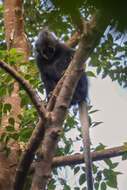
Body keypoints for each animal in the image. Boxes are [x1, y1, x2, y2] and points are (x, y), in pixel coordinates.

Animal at [35, 28, 93, 190]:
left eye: (51, 49)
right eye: (44, 51)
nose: (48, 55)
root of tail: (83, 96)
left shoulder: (62, 47)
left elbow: (72, 54)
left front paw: (69, 59)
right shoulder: (39, 60)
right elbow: (44, 76)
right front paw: (48, 96)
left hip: (81, 83)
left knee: (79, 71)